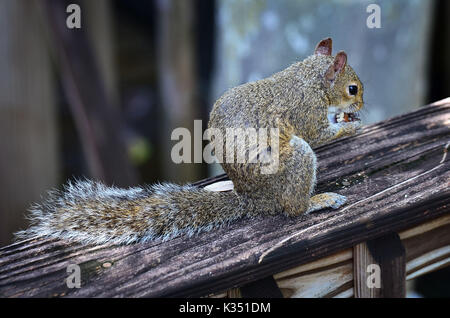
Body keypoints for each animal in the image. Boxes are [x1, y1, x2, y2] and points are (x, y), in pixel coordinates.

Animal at [15, 38, 364, 245]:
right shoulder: (306, 109)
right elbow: (318, 134)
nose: (361, 105)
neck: (309, 78)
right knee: (292, 207)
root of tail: (253, 199)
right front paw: (351, 128)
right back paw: (317, 201)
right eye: (353, 89)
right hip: (295, 161)